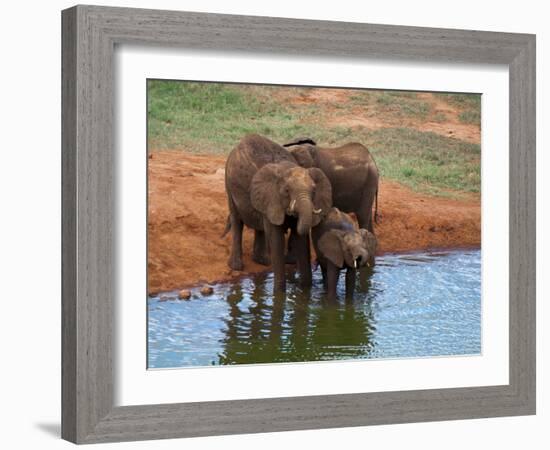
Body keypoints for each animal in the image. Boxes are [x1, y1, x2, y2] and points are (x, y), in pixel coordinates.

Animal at [224, 134, 332, 292]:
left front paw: (305, 289)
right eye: (287, 191)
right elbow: (276, 238)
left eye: (313, 191)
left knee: (260, 225)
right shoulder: (272, 197)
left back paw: (263, 261)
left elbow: (301, 238)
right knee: (237, 220)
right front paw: (279, 293)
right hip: (229, 184)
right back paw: (237, 266)